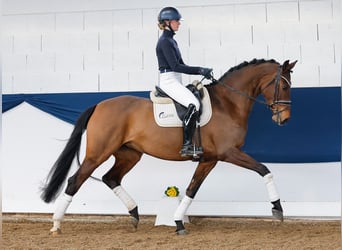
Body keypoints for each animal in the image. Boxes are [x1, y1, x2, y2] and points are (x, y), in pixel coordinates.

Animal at [40, 58, 296, 234]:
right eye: (284, 87)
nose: (284, 119)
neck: (228, 103)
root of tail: (99, 105)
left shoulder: (209, 159)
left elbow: (192, 189)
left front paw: (179, 223)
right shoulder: (229, 153)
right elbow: (264, 170)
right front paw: (277, 209)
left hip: (129, 154)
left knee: (111, 178)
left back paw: (134, 214)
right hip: (98, 153)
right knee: (75, 180)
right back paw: (56, 224)